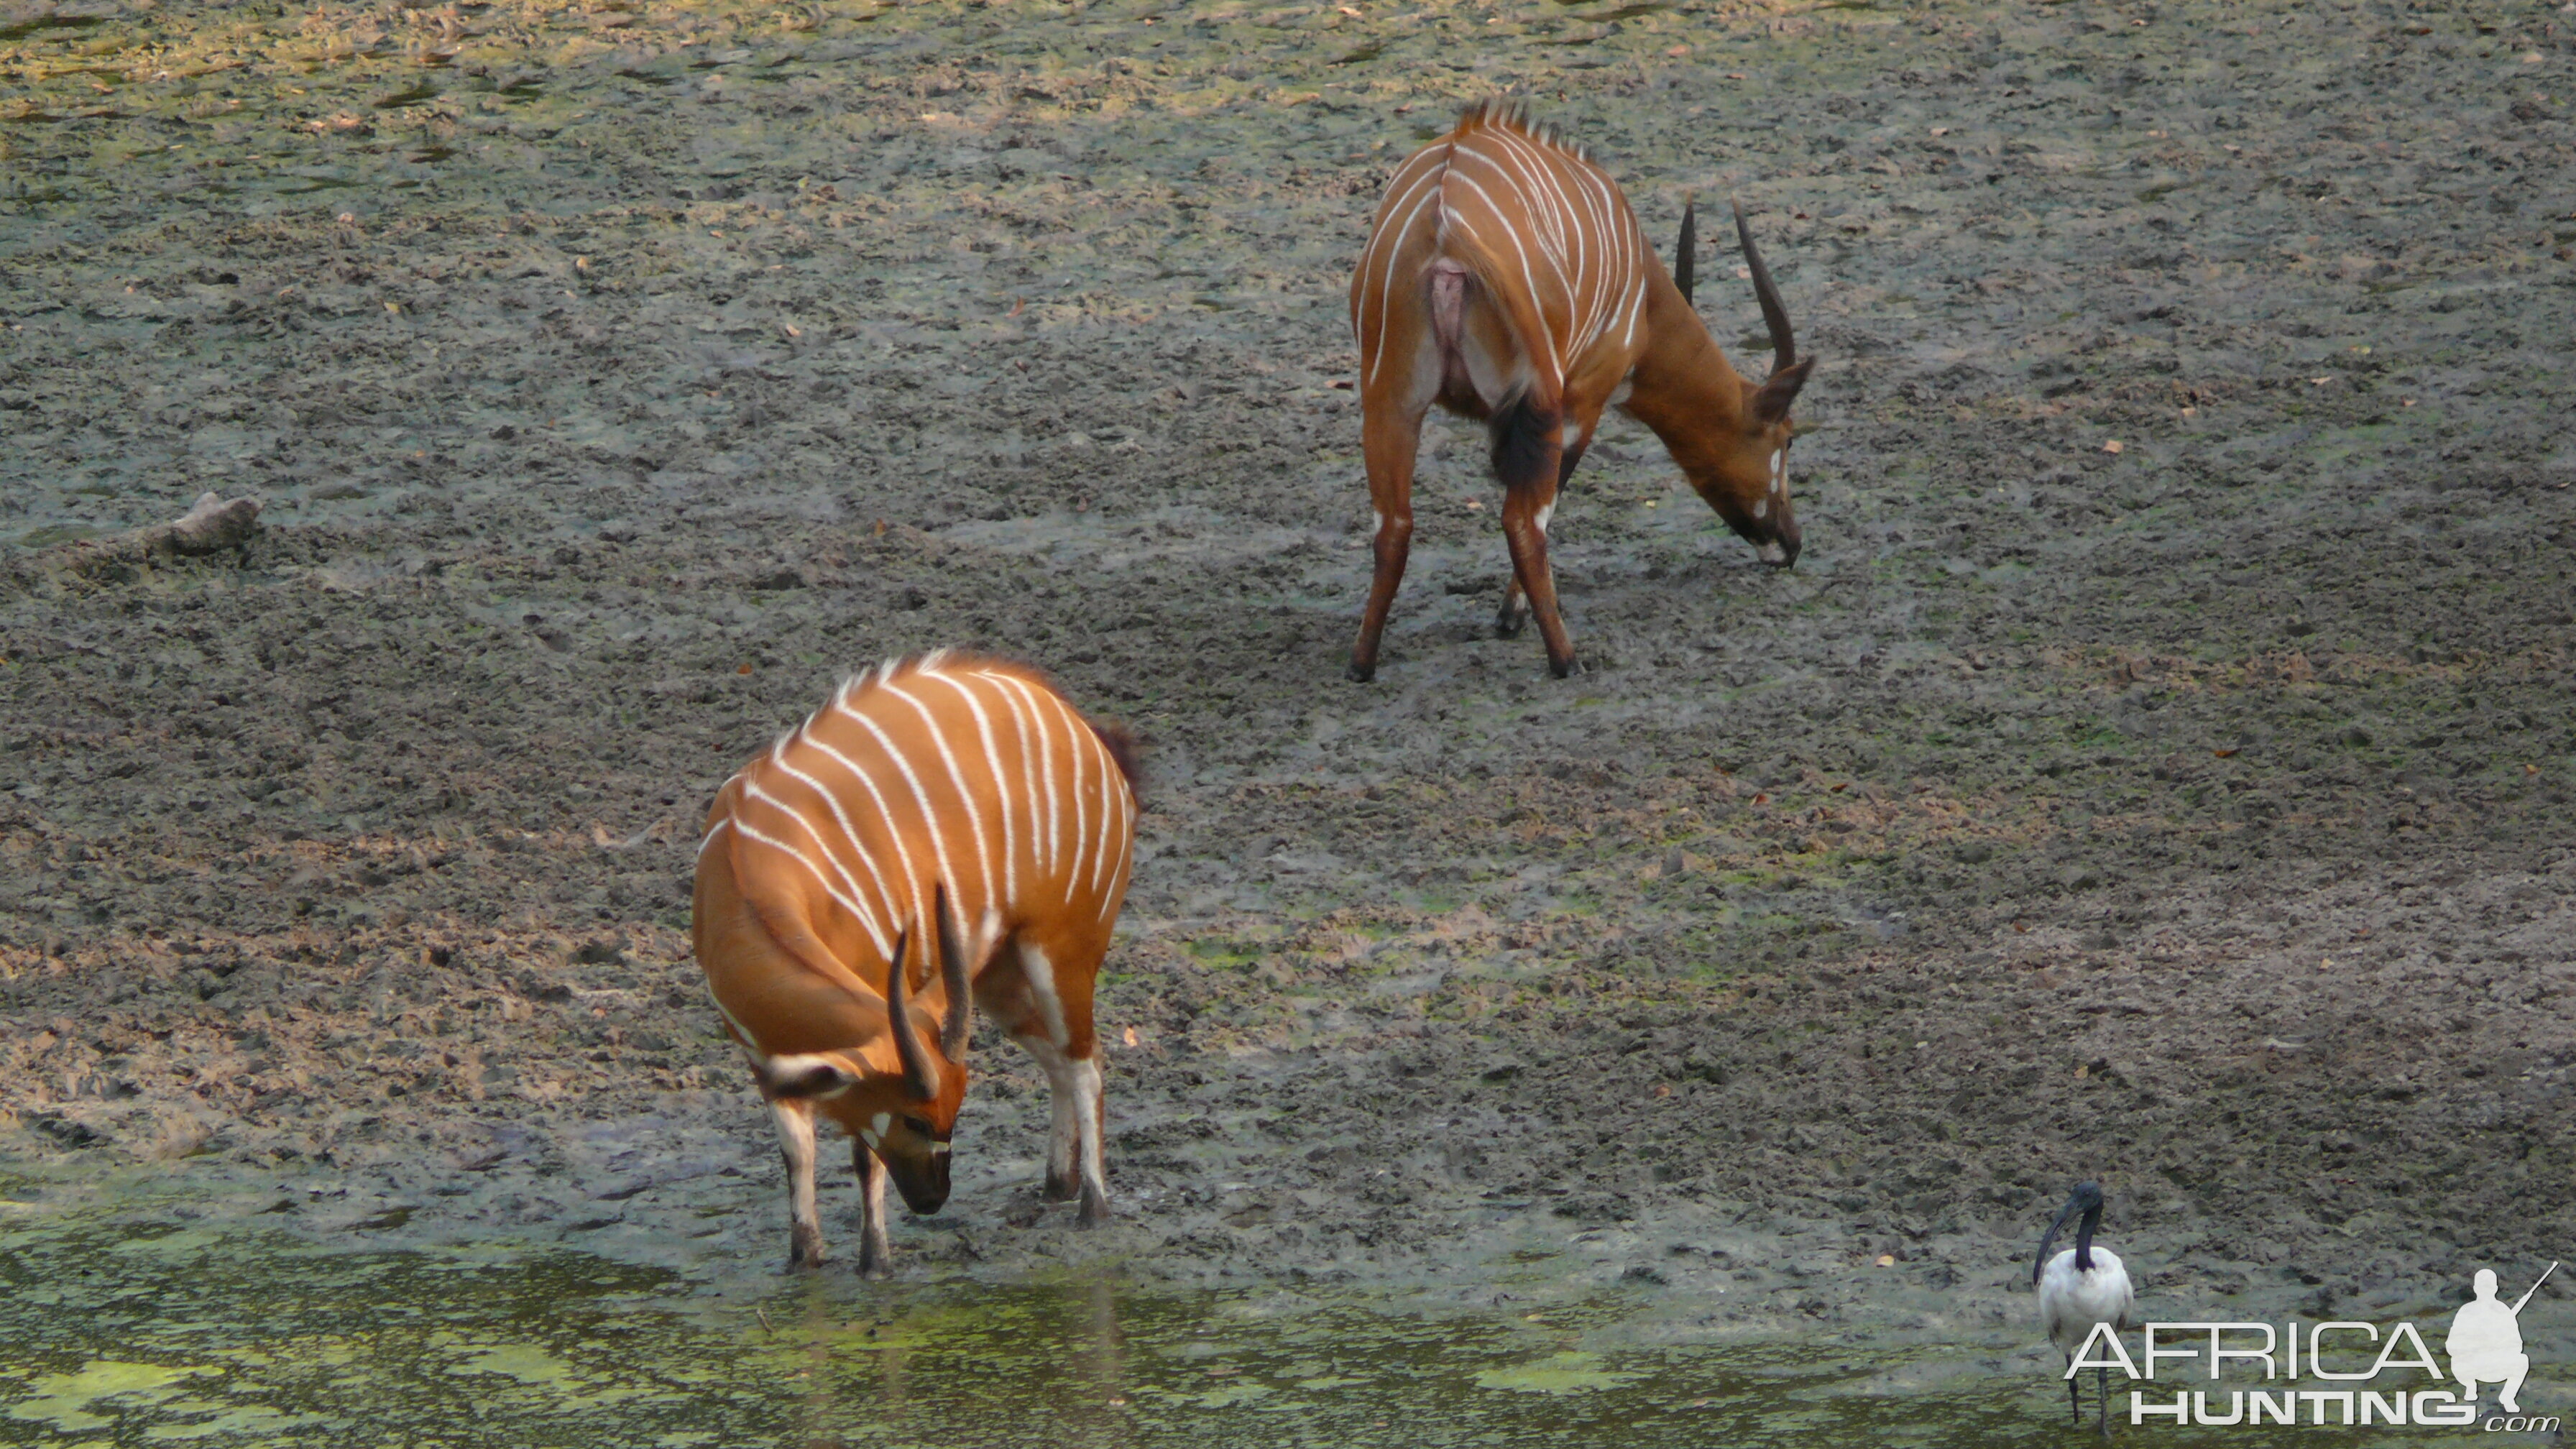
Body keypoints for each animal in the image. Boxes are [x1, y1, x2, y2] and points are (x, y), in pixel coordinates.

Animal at [706, 649, 1149, 1268]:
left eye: (954, 1114)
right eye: (916, 1119)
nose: (934, 1199)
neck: (748, 874)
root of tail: (1086, 733)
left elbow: (862, 1159)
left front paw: (875, 1264)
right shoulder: (763, 1059)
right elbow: (798, 1154)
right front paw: (805, 1261)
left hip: (1062, 951)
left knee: (1084, 1062)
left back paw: (1092, 1207)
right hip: (997, 977)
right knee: (1063, 1059)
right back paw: (1055, 1185)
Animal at [1350, 101, 1813, 675]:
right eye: (1787, 440)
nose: (1791, 544)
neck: (1644, 299)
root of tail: (1446, 234)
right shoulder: (1583, 399)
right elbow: (1548, 504)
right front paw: (1510, 617)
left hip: (1391, 403)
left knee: (1393, 525)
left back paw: (1361, 665)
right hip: (1539, 402)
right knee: (1522, 521)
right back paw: (1566, 660)